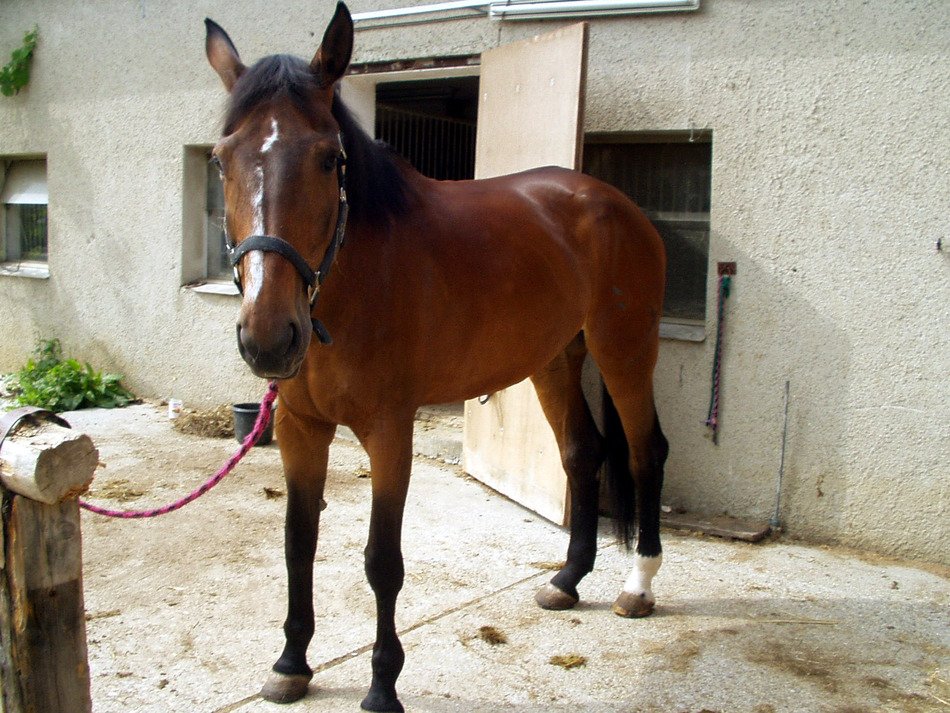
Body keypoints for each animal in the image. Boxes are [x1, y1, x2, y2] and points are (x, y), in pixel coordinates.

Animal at [205, 3, 669, 710]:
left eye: (328, 160)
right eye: (221, 159)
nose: (268, 336)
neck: (352, 284)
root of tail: (614, 204)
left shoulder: (389, 430)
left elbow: (381, 561)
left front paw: (382, 683)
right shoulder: (300, 427)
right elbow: (298, 542)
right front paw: (291, 661)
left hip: (625, 350)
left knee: (644, 451)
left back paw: (637, 585)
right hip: (554, 359)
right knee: (581, 452)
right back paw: (567, 580)